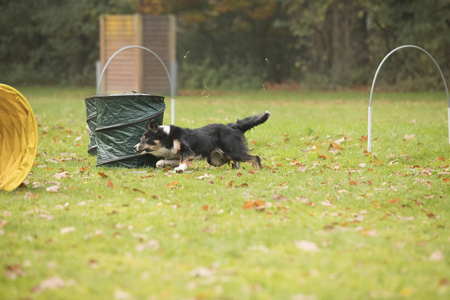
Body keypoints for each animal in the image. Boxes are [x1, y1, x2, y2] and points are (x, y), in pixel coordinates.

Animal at [134, 110, 270, 172]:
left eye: (146, 139)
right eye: (141, 139)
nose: (134, 147)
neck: (169, 138)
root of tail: (231, 126)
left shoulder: (188, 151)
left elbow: (182, 161)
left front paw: (180, 169)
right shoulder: (177, 155)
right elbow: (170, 160)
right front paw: (161, 163)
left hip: (233, 151)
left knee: (255, 157)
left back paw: (258, 169)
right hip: (215, 159)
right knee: (233, 161)